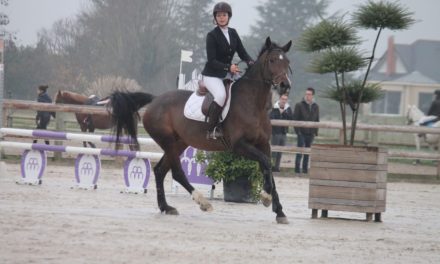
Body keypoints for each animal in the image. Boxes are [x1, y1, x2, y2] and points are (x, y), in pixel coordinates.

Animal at [108, 37, 292, 223]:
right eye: (272, 60)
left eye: (287, 62)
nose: (285, 86)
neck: (254, 105)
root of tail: (155, 100)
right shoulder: (239, 146)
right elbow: (266, 162)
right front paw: (266, 198)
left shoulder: (263, 144)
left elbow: (268, 167)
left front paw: (279, 211)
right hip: (168, 141)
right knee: (177, 173)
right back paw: (202, 202)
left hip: (178, 143)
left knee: (160, 171)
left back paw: (166, 207)